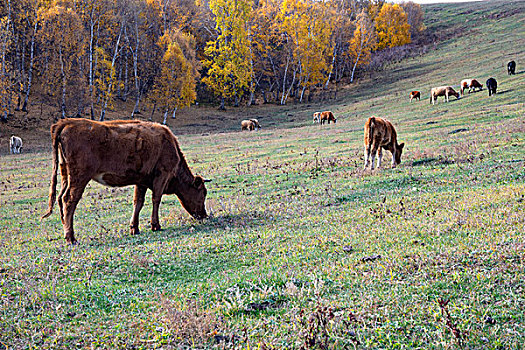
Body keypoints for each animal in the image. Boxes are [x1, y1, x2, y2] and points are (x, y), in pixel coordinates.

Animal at [41, 119, 209, 245]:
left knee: (60, 198)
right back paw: (71, 238)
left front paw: (134, 228)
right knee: (69, 200)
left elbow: (138, 202)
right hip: (79, 177)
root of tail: (68, 122)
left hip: (65, 174)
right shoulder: (162, 174)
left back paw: (66, 229)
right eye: (203, 193)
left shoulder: (141, 180)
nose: (204, 215)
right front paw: (155, 225)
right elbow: (156, 199)